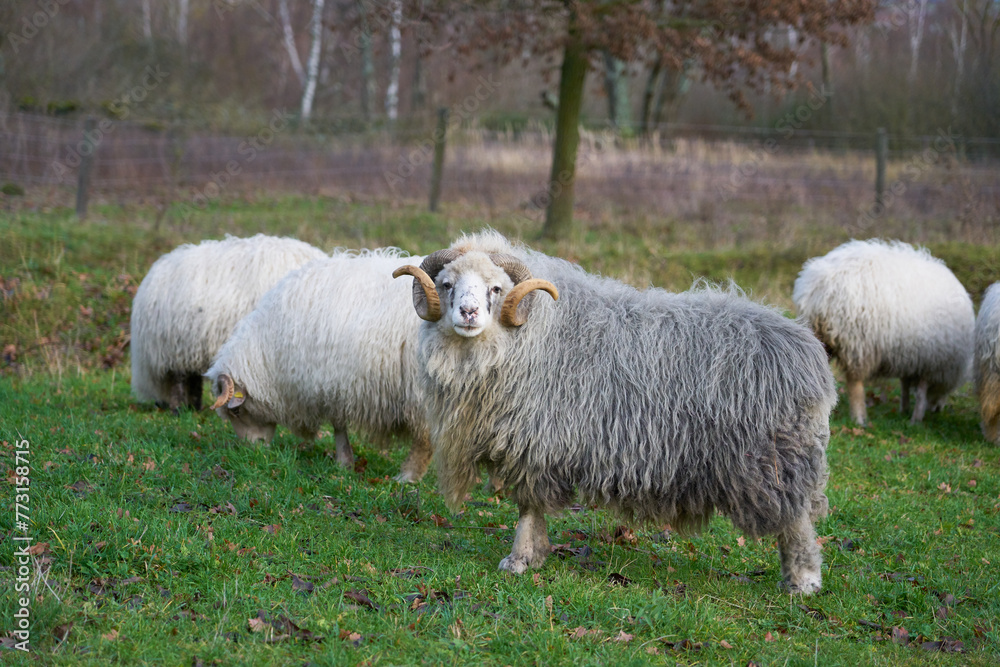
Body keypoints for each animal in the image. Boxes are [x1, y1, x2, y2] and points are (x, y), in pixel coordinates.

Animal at [206, 248, 432, 482]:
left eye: (236, 412)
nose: (252, 449)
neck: (269, 350)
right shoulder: (333, 383)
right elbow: (338, 424)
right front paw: (345, 463)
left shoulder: (324, 380)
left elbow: (338, 425)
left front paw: (343, 461)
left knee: (425, 439)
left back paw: (407, 477)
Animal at [393, 231, 836, 593]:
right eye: (447, 284)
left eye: (496, 287)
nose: (468, 313)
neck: (532, 334)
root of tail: (808, 352)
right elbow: (530, 509)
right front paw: (537, 554)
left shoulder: (538, 443)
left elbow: (528, 507)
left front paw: (519, 559)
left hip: (772, 462)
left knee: (797, 522)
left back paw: (803, 583)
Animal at [792, 239, 974, 426]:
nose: (938, 409)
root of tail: (820, 287)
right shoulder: (930, 360)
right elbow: (921, 392)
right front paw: (916, 419)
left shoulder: (911, 358)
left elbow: (904, 385)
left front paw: (904, 410)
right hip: (858, 340)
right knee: (854, 381)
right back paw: (859, 418)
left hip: (822, 337)